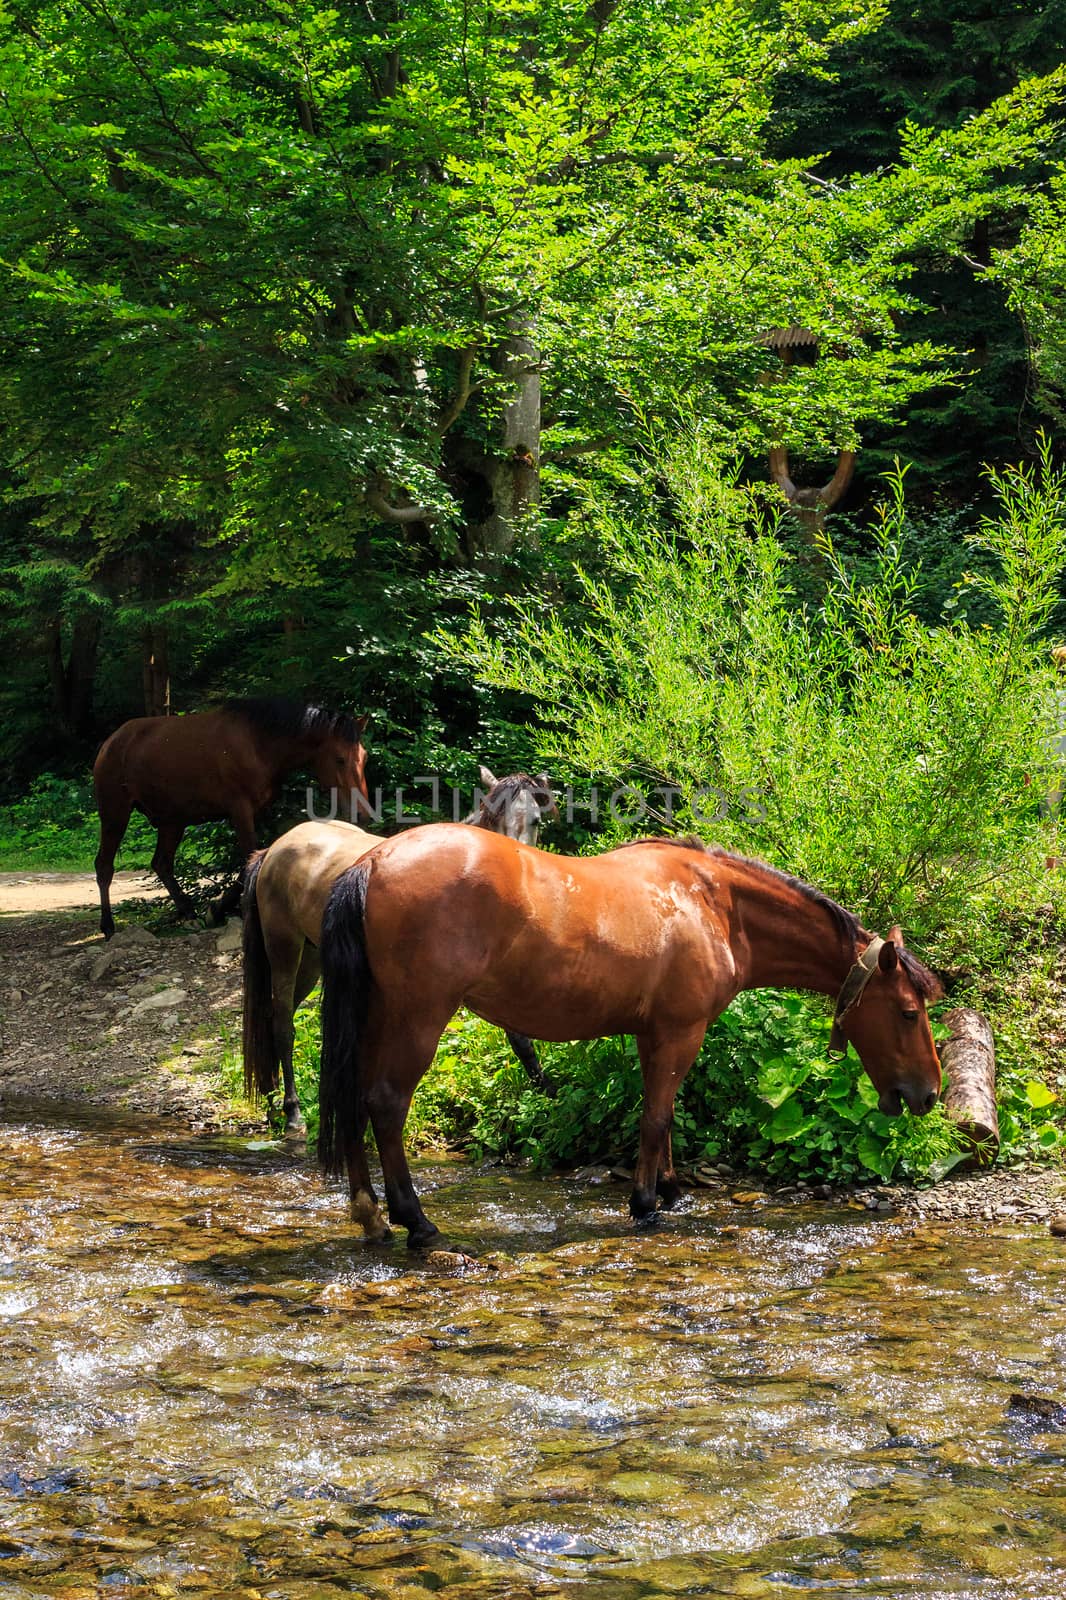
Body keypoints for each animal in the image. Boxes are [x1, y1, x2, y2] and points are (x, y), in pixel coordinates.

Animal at [95, 700, 369, 934]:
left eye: (364, 757)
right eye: (340, 758)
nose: (362, 812)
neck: (259, 743)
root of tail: (110, 743)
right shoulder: (240, 810)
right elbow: (247, 859)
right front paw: (218, 910)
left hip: (172, 821)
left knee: (161, 863)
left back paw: (188, 913)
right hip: (115, 814)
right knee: (104, 866)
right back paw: (108, 927)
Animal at [240, 764, 557, 1132]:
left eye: (535, 819)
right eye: (494, 817)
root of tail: (275, 849)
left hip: (312, 958)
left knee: (275, 1019)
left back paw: (271, 1100)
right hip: (284, 948)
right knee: (282, 1025)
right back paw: (291, 1111)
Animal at [313, 832, 941, 1241]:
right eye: (909, 1012)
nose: (929, 1093)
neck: (715, 904)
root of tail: (373, 861)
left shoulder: (654, 1033)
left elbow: (663, 1117)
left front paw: (669, 1190)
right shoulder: (682, 1031)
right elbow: (657, 1117)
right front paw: (644, 1205)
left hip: (375, 1017)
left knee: (353, 1101)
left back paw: (370, 1214)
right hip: (419, 1017)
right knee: (385, 1103)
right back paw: (414, 1220)